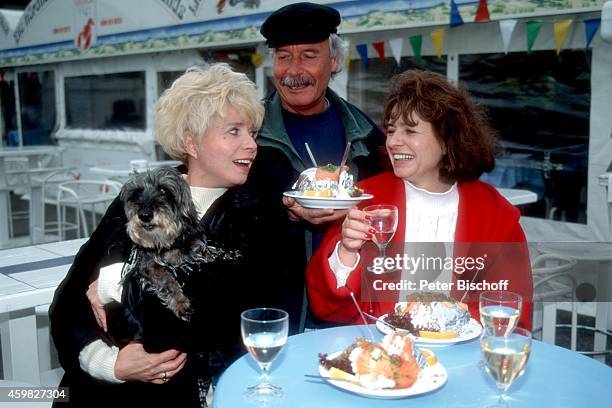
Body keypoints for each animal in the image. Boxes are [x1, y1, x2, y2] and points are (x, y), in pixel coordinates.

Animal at [119, 167, 218, 322]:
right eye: (137, 193)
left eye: (164, 190)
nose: (144, 215)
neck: (166, 244)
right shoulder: (147, 265)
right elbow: (166, 280)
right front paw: (180, 303)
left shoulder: (195, 251)